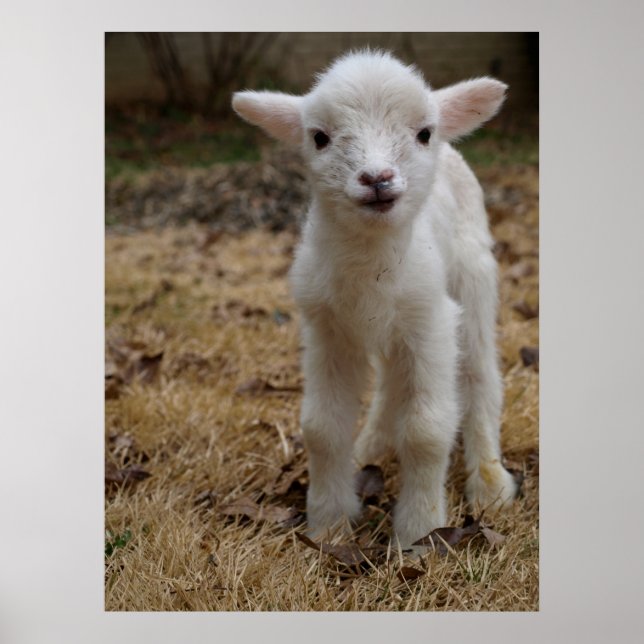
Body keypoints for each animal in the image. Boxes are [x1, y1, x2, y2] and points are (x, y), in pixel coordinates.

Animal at [232, 50, 518, 548]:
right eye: (319, 137)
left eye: (423, 133)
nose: (377, 178)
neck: (372, 265)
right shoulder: (325, 330)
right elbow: (322, 428)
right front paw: (328, 524)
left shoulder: (431, 323)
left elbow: (427, 430)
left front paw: (419, 533)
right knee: (391, 381)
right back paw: (373, 443)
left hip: (473, 280)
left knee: (480, 373)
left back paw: (489, 482)